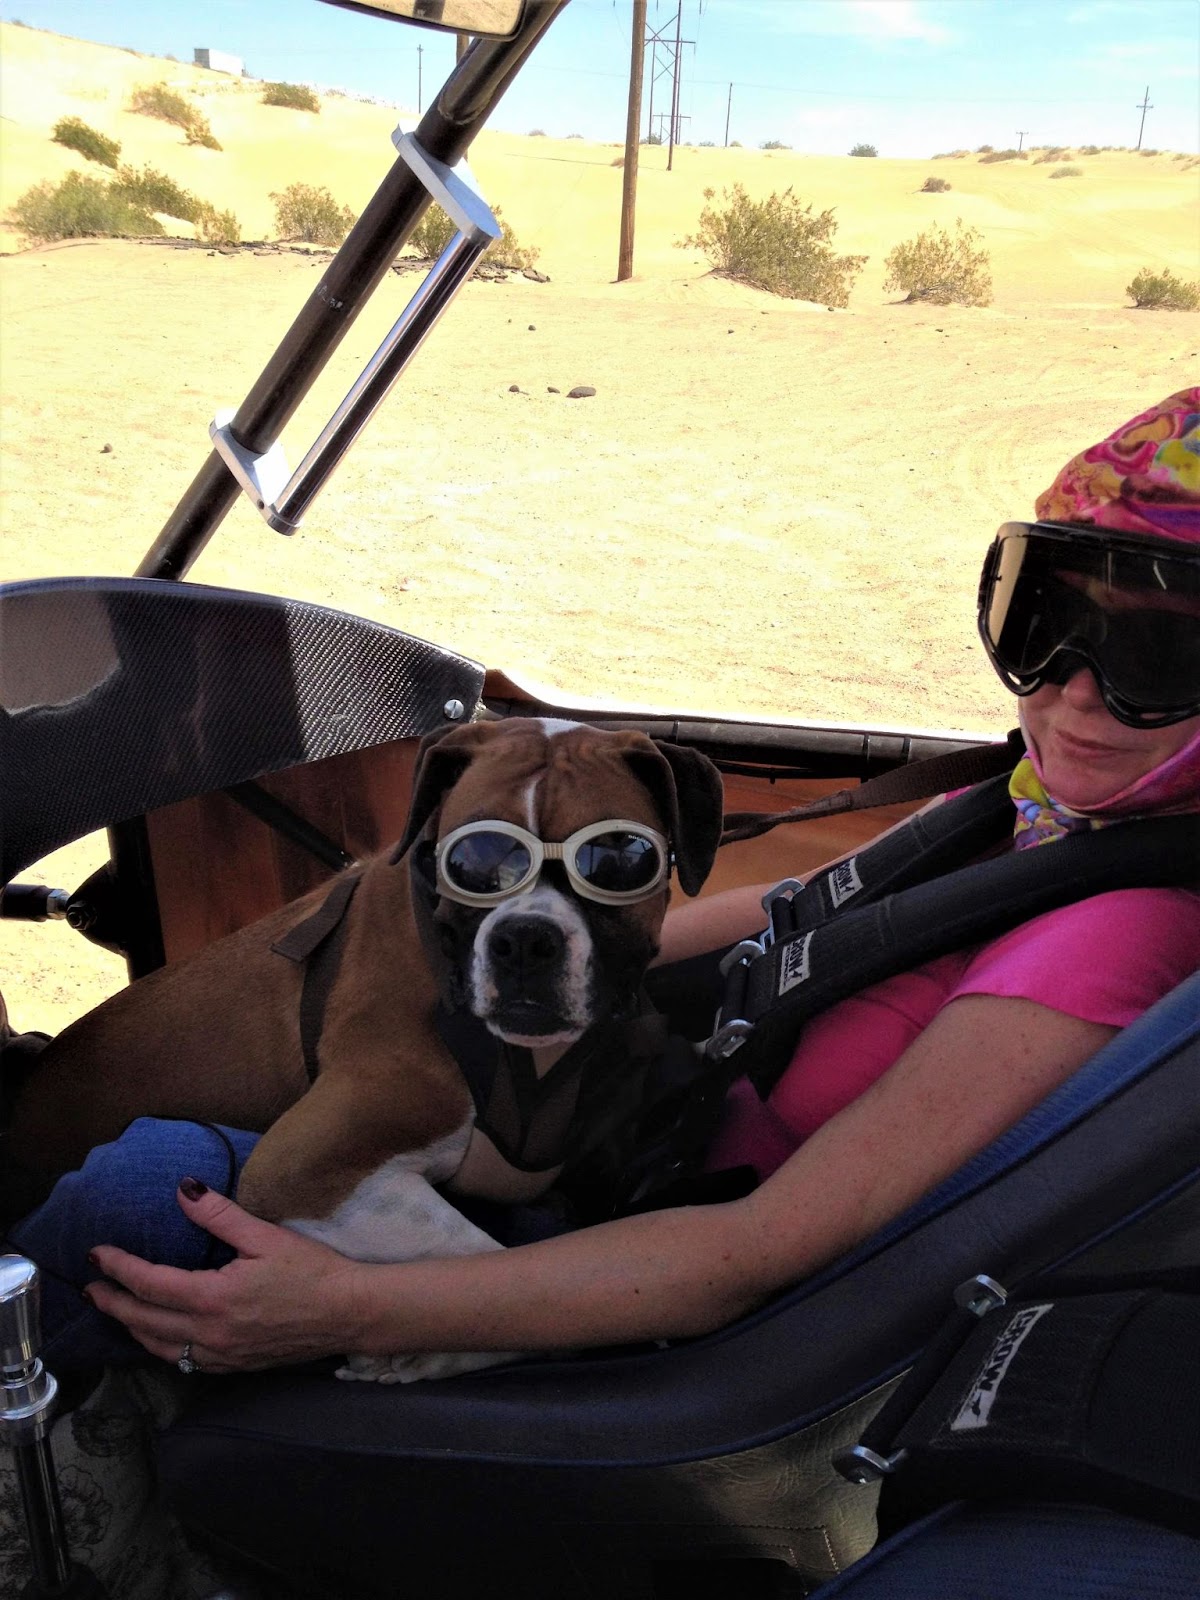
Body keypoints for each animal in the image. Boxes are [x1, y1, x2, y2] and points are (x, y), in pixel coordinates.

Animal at [7, 720, 723, 1382]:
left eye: (619, 859)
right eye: (475, 862)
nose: (525, 938)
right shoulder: (305, 1170)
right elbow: (491, 1266)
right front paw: (432, 1351)